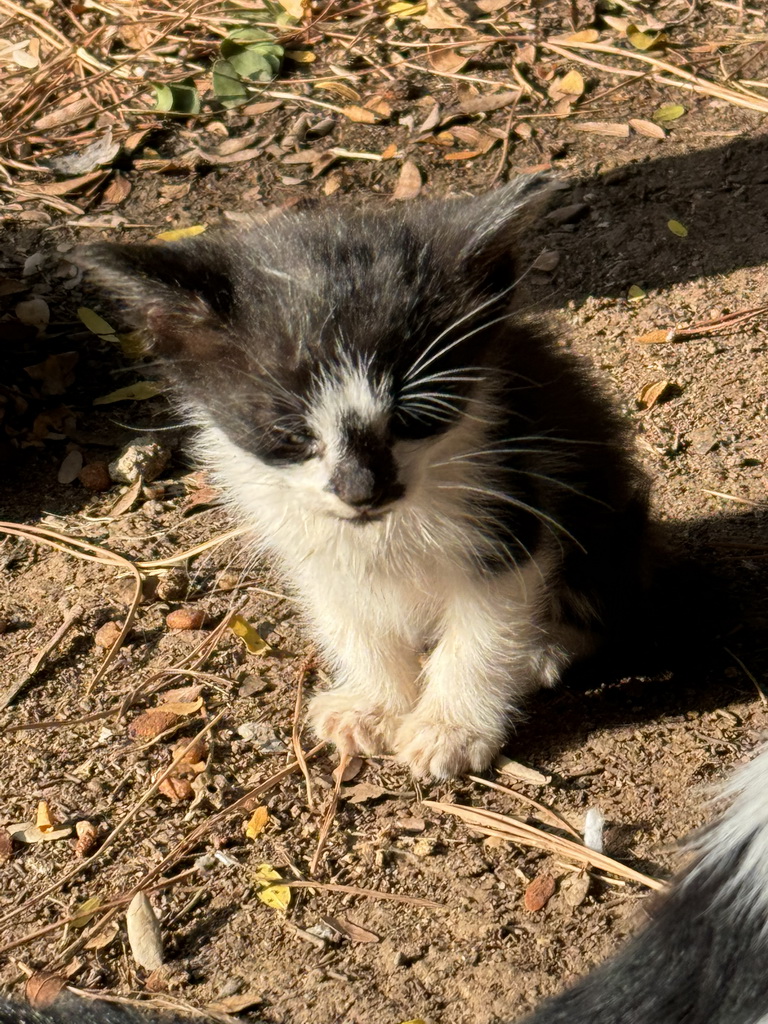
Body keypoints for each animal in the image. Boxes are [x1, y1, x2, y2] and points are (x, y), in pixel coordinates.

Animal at [81, 180, 651, 778]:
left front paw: (450, 728)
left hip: (605, 516)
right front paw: (374, 706)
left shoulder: (509, 495)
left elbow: (487, 624)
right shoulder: (309, 537)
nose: (361, 491)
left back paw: (543, 649)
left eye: (413, 418)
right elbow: (349, 616)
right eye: (290, 435)